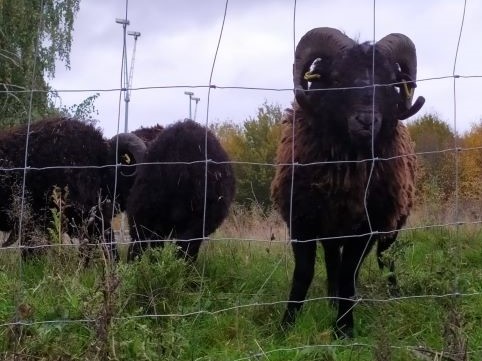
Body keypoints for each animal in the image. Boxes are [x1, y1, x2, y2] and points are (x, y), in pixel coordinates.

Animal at [272, 28, 426, 338]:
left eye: (390, 82)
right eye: (336, 78)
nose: (366, 121)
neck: (344, 176)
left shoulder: (366, 228)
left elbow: (348, 274)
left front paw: (344, 329)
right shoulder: (301, 221)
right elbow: (304, 273)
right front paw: (286, 326)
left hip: (393, 223)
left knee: (384, 258)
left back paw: (392, 294)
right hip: (332, 229)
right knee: (333, 258)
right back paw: (331, 299)